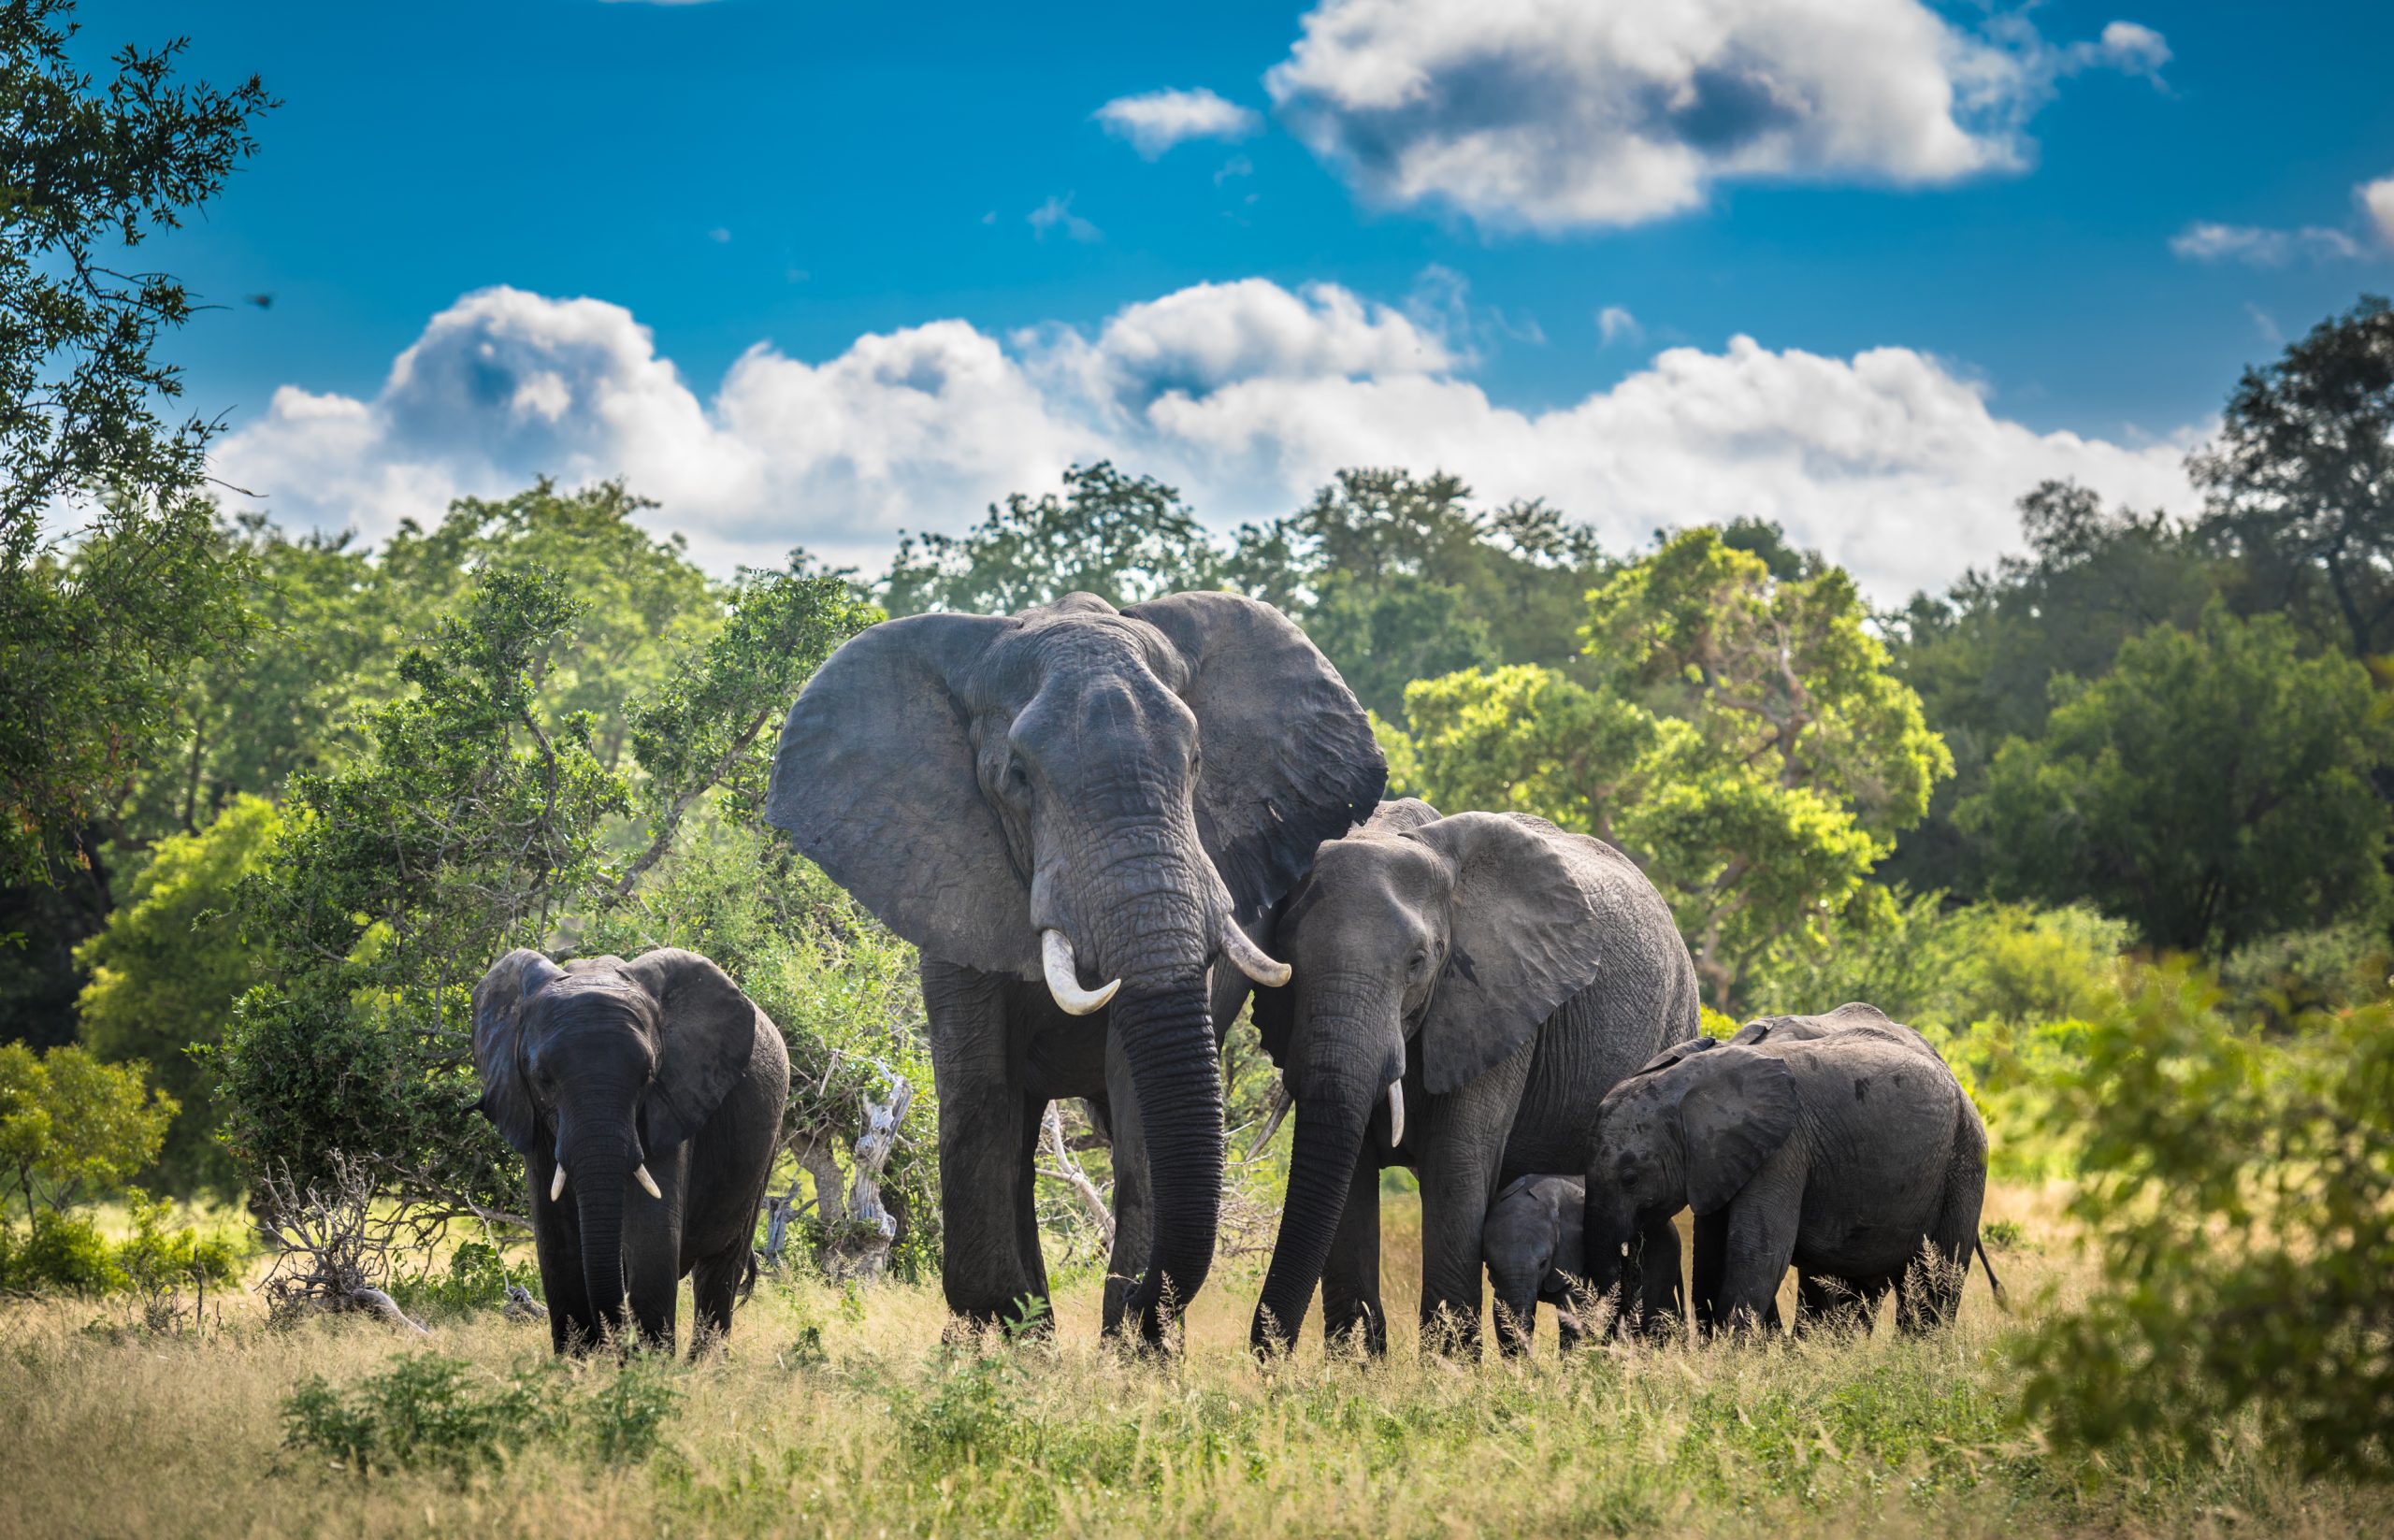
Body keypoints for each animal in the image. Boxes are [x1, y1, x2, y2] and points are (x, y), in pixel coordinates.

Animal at [471, 947, 791, 1355]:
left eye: (648, 1076)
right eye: (543, 1078)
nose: (620, 1347)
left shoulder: (673, 1103)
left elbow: (651, 1236)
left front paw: (648, 1366)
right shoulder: (533, 1120)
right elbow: (557, 1239)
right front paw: (577, 1363)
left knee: (719, 1269)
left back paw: (704, 1366)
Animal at [764, 592, 1382, 1343]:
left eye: (1196, 760)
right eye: (1018, 778)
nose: (1143, 1297)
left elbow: (1139, 1102)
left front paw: (1132, 1346)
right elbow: (980, 1098)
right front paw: (1009, 1339)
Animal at [1579, 1005, 2000, 1337]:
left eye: (1631, 1178)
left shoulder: (1783, 1149)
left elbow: (1757, 1252)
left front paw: (1736, 1359)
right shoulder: (1718, 1160)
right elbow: (1712, 1254)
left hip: (1963, 1161)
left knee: (1935, 1279)